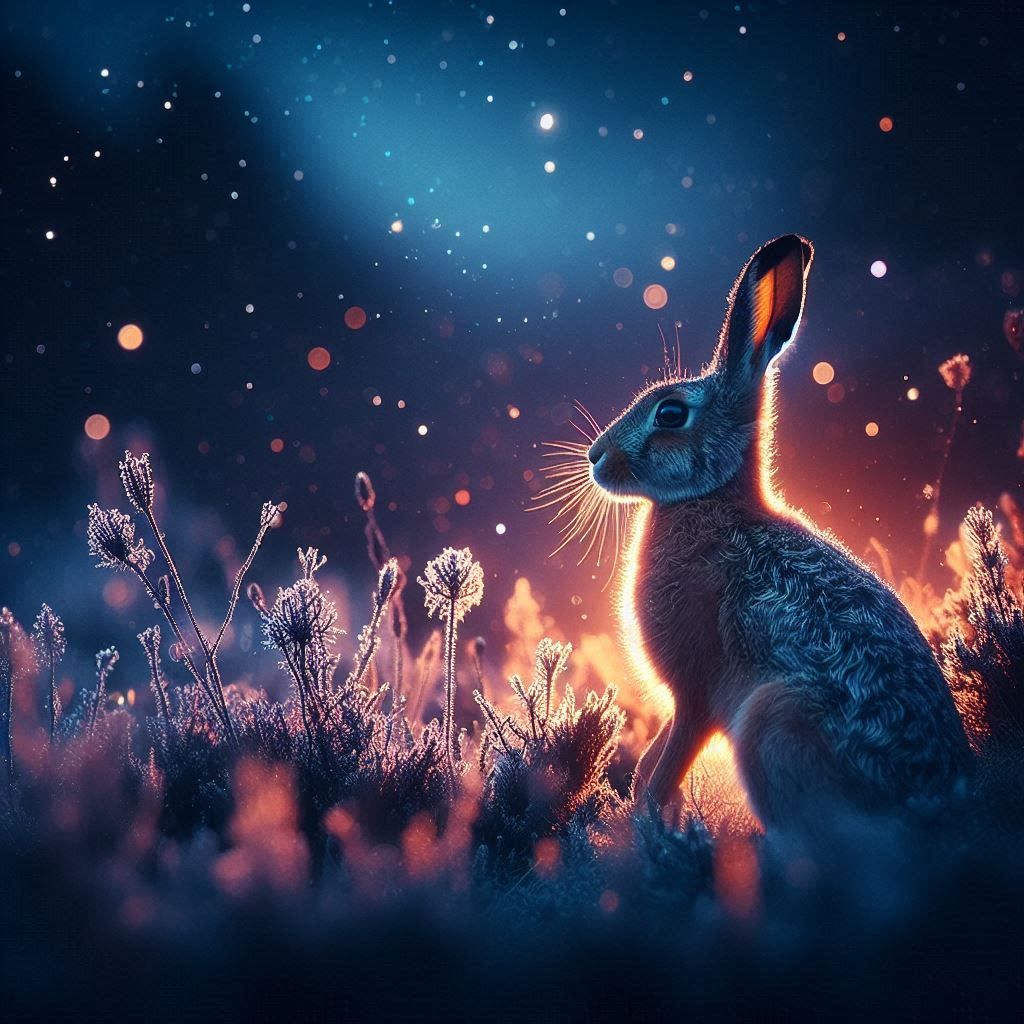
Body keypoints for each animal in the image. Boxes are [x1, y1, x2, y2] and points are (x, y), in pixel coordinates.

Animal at [586, 234, 971, 831]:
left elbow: (669, 764)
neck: (712, 499)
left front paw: (643, 823)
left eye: (670, 414)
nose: (596, 457)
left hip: (771, 720)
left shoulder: (697, 694)